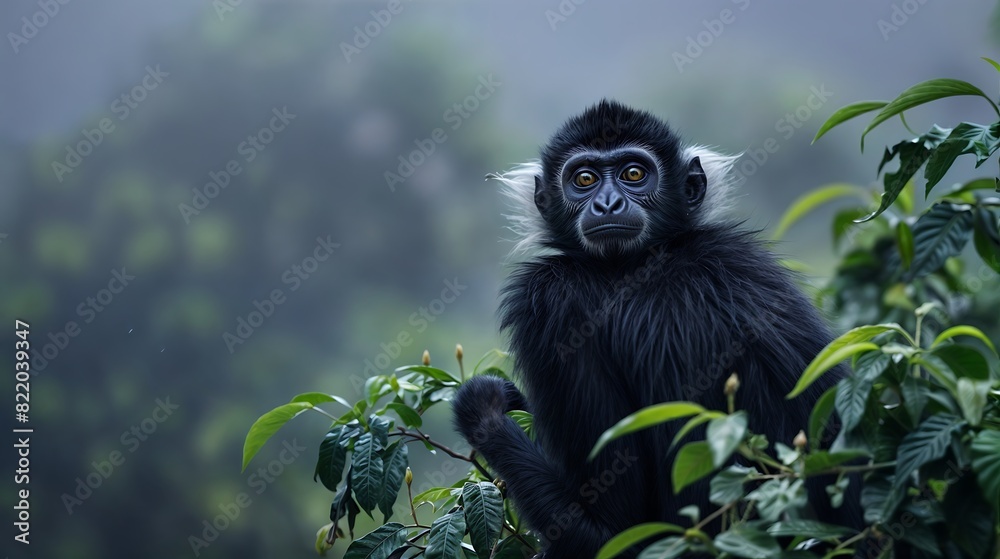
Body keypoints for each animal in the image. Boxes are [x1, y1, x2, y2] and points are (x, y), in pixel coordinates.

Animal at [451, 100, 858, 558]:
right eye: (584, 179)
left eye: (633, 174)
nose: (608, 203)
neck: (648, 257)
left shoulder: (551, 300)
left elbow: (611, 526)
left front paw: (483, 408)